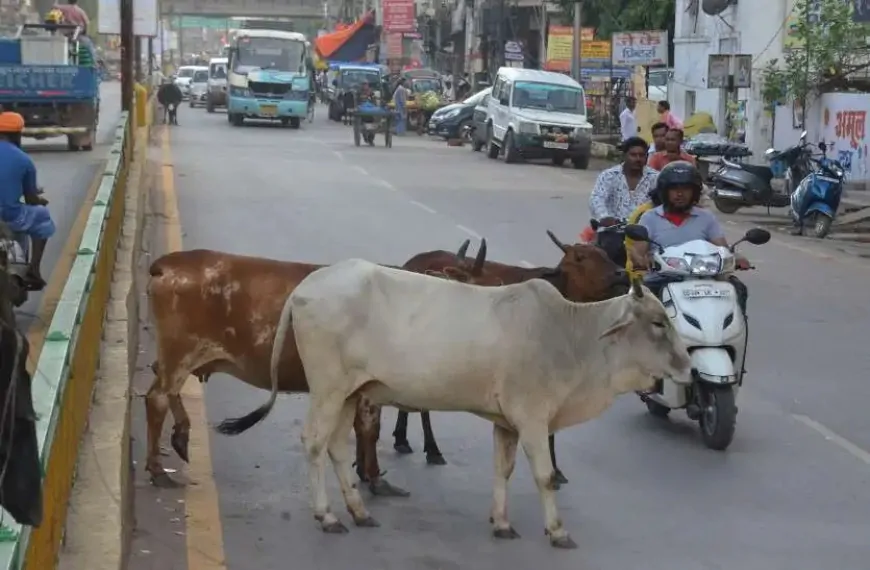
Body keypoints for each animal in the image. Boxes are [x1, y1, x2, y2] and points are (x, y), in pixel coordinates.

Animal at [146, 241, 494, 492]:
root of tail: (167, 265)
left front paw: (364, 472)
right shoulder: (369, 390)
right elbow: (370, 429)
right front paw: (375, 478)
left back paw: (179, 436)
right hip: (180, 352)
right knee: (157, 398)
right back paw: (158, 469)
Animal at [272, 258, 696, 544]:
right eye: (658, 322)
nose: (690, 368)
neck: (569, 335)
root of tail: (309, 284)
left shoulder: (507, 422)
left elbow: (502, 470)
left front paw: (502, 523)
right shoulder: (532, 418)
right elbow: (545, 476)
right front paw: (557, 531)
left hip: (349, 393)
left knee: (338, 448)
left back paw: (358, 512)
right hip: (327, 388)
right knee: (314, 443)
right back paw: (327, 516)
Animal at [388, 229, 628, 486]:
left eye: (605, 254)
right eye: (580, 257)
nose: (622, 274)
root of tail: (411, 263)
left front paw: (555, 469)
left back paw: (403, 438)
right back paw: (430, 449)